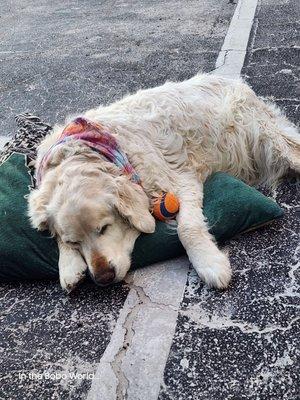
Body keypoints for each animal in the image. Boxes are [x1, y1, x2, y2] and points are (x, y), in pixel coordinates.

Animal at [27, 74, 298, 290]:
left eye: (104, 228)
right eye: (74, 241)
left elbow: (187, 229)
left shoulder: (182, 180)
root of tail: (234, 80)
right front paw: (69, 266)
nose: (104, 277)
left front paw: (210, 263)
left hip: (266, 137)